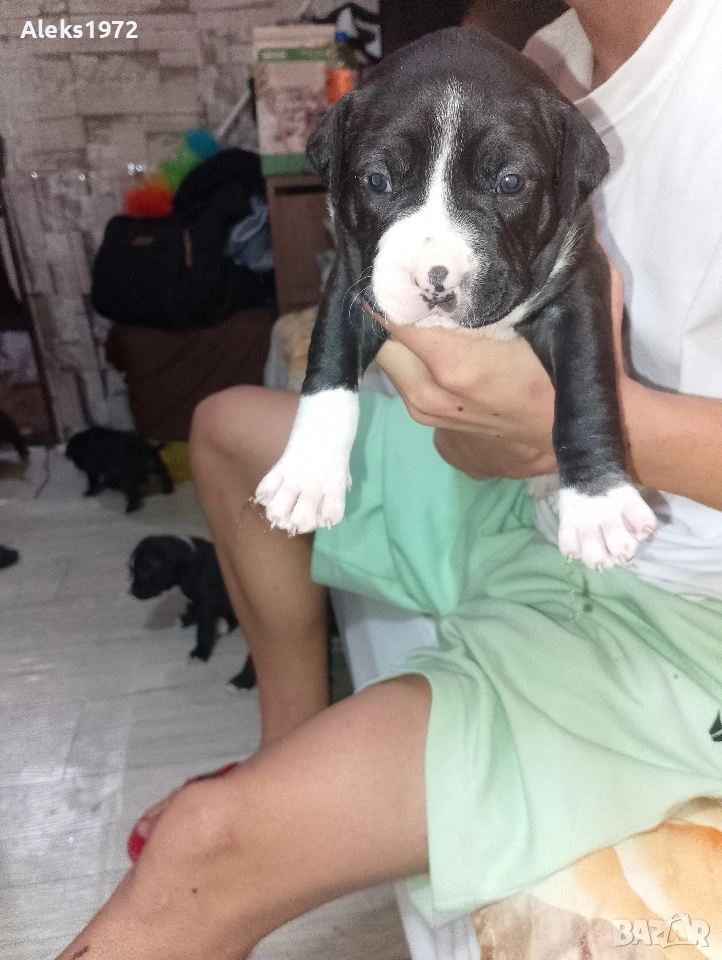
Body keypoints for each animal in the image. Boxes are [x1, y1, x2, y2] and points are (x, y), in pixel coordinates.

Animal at [129, 535, 256, 691]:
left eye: (143, 572)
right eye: (132, 572)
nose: (130, 592)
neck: (190, 563)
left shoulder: (208, 603)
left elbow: (204, 630)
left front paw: (199, 654)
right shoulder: (195, 598)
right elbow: (194, 608)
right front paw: (186, 618)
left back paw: (223, 624)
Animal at [255, 27, 657, 570]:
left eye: (510, 182)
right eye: (377, 179)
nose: (435, 279)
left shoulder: (580, 287)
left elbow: (585, 387)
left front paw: (598, 505)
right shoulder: (352, 281)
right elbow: (328, 368)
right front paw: (307, 474)